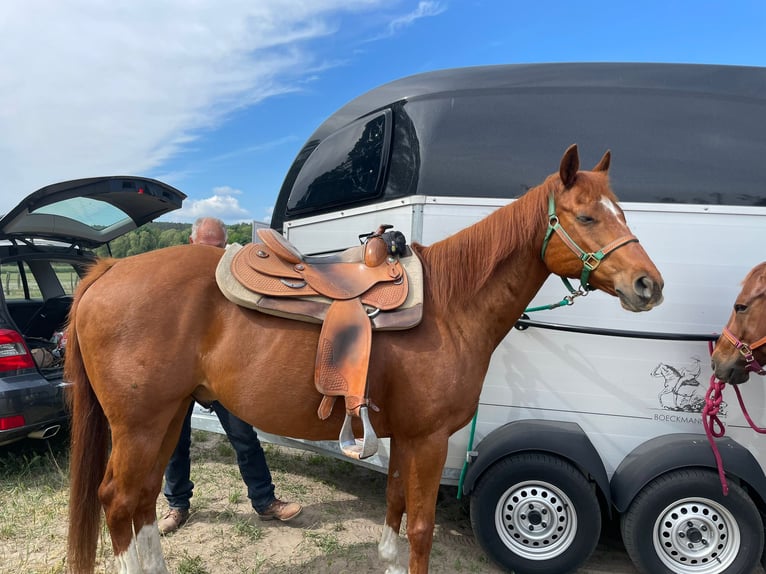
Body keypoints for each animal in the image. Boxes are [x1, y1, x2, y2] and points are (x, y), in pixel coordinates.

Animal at [66, 145, 664, 574]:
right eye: (586, 217)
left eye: (622, 212)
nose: (649, 285)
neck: (450, 304)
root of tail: (106, 273)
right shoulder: (428, 439)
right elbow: (420, 527)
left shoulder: (406, 436)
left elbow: (396, 510)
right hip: (141, 423)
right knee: (118, 501)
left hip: (166, 417)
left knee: (142, 501)